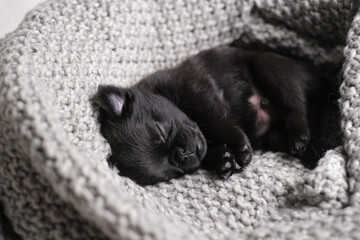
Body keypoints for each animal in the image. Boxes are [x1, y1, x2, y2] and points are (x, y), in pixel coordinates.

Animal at [97, 47, 328, 186]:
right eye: (171, 170)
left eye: (160, 131)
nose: (183, 153)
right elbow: (209, 152)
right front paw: (222, 160)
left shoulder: (197, 92)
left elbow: (218, 121)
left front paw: (238, 146)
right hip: (271, 136)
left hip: (269, 68)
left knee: (293, 104)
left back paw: (299, 135)